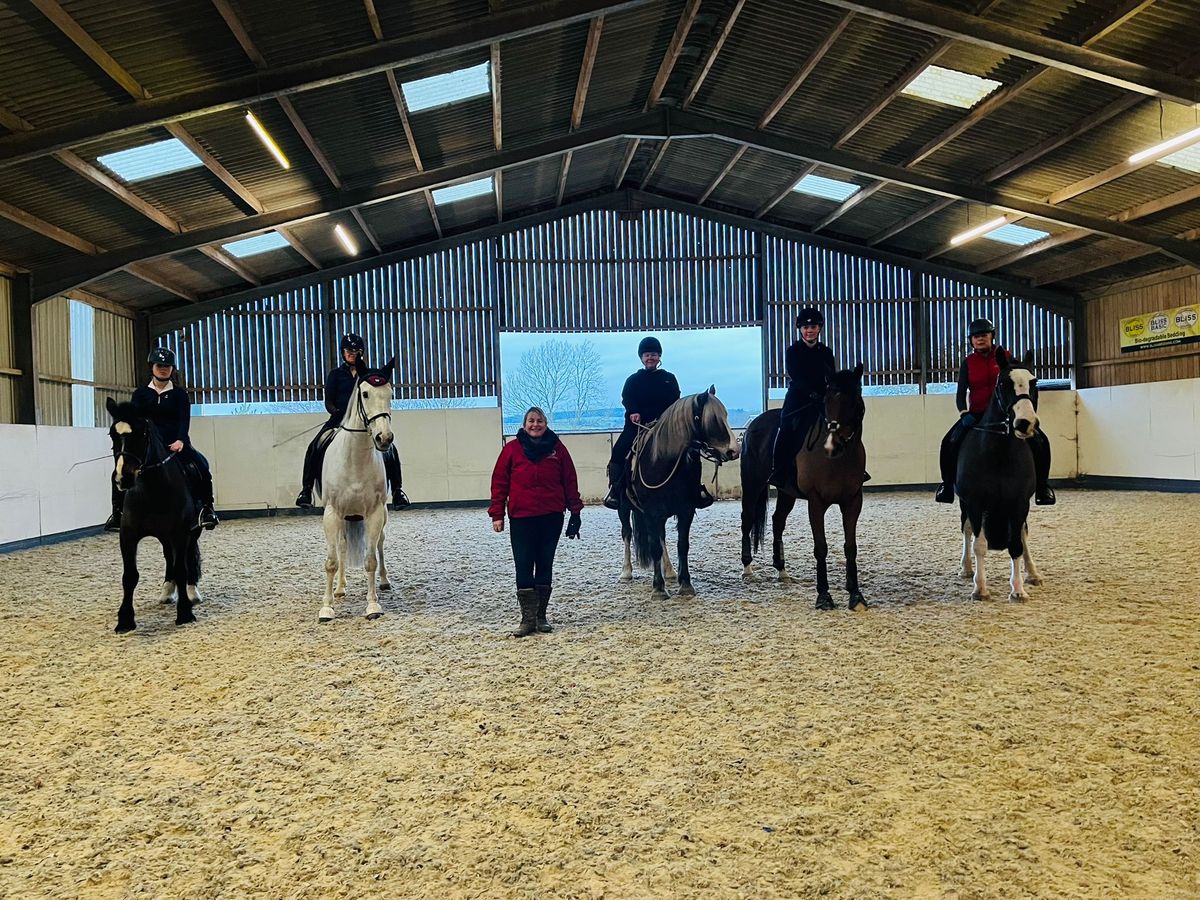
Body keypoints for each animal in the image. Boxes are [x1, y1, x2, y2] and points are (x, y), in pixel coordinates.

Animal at [108, 393, 204, 633]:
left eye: (142, 433)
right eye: (112, 434)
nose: (123, 478)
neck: (152, 491)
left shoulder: (181, 533)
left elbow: (181, 568)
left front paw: (185, 612)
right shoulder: (128, 535)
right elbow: (129, 576)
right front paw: (125, 620)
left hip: (191, 532)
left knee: (186, 560)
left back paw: (191, 592)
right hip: (164, 536)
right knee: (169, 557)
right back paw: (167, 591)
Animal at [316, 357, 396, 619]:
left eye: (390, 394)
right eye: (365, 393)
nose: (384, 438)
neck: (355, 460)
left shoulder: (374, 513)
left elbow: (370, 560)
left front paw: (373, 605)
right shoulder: (332, 514)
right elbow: (331, 561)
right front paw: (327, 607)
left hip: (381, 515)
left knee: (380, 542)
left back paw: (384, 582)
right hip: (344, 517)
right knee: (341, 546)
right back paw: (340, 588)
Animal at [619, 386, 739, 600]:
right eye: (714, 419)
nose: (734, 450)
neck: (663, 461)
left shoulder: (685, 510)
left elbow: (682, 545)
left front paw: (685, 585)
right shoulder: (651, 512)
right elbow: (654, 548)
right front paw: (659, 589)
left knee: (661, 537)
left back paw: (669, 571)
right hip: (624, 508)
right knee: (627, 533)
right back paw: (626, 572)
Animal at [734, 367, 868, 614]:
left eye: (855, 402)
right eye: (826, 401)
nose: (833, 445)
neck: (837, 460)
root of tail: (753, 425)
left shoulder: (853, 501)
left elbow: (850, 547)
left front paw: (855, 595)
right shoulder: (816, 503)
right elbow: (821, 548)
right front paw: (824, 596)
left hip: (787, 493)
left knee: (777, 521)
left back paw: (781, 570)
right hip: (752, 483)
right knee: (747, 518)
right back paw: (747, 567)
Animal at [955, 348, 1041, 602]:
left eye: (1034, 382)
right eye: (1003, 383)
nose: (1025, 423)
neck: (999, 454)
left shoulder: (1020, 503)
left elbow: (1017, 544)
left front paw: (1018, 590)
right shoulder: (974, 502)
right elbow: (979, 544)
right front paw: (980, 588)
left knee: (1023, 533)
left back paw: (1033, 573)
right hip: (965, 505)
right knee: (967, 529)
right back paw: (966, 568)